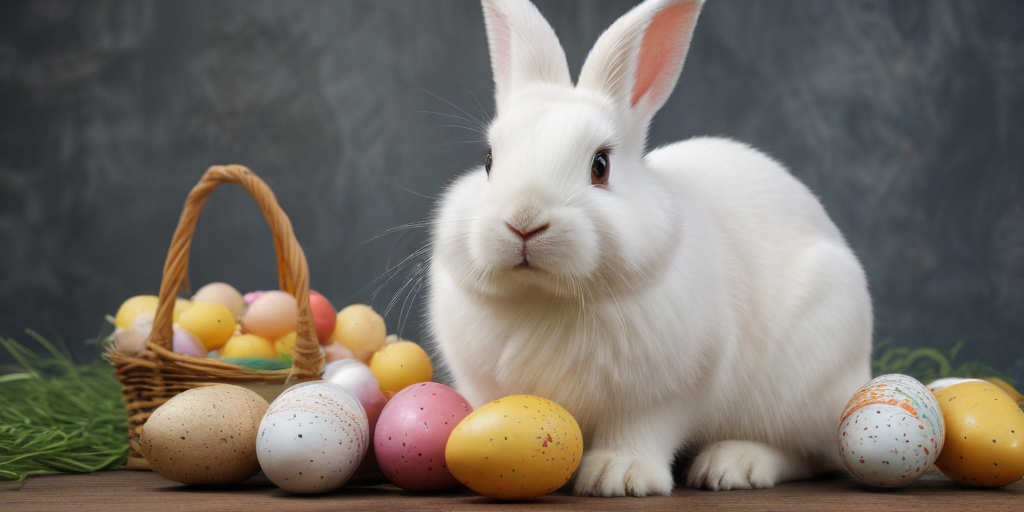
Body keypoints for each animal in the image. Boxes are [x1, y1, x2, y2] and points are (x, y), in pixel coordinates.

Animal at [427, 0, 872, 497]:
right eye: (489, 161)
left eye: (600, 166)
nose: (524, 221)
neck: (544, 298)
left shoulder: (666, 393)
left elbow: (641, 430)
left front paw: (617, 476)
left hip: (805, 375)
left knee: (811, 453)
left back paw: (732, 464)